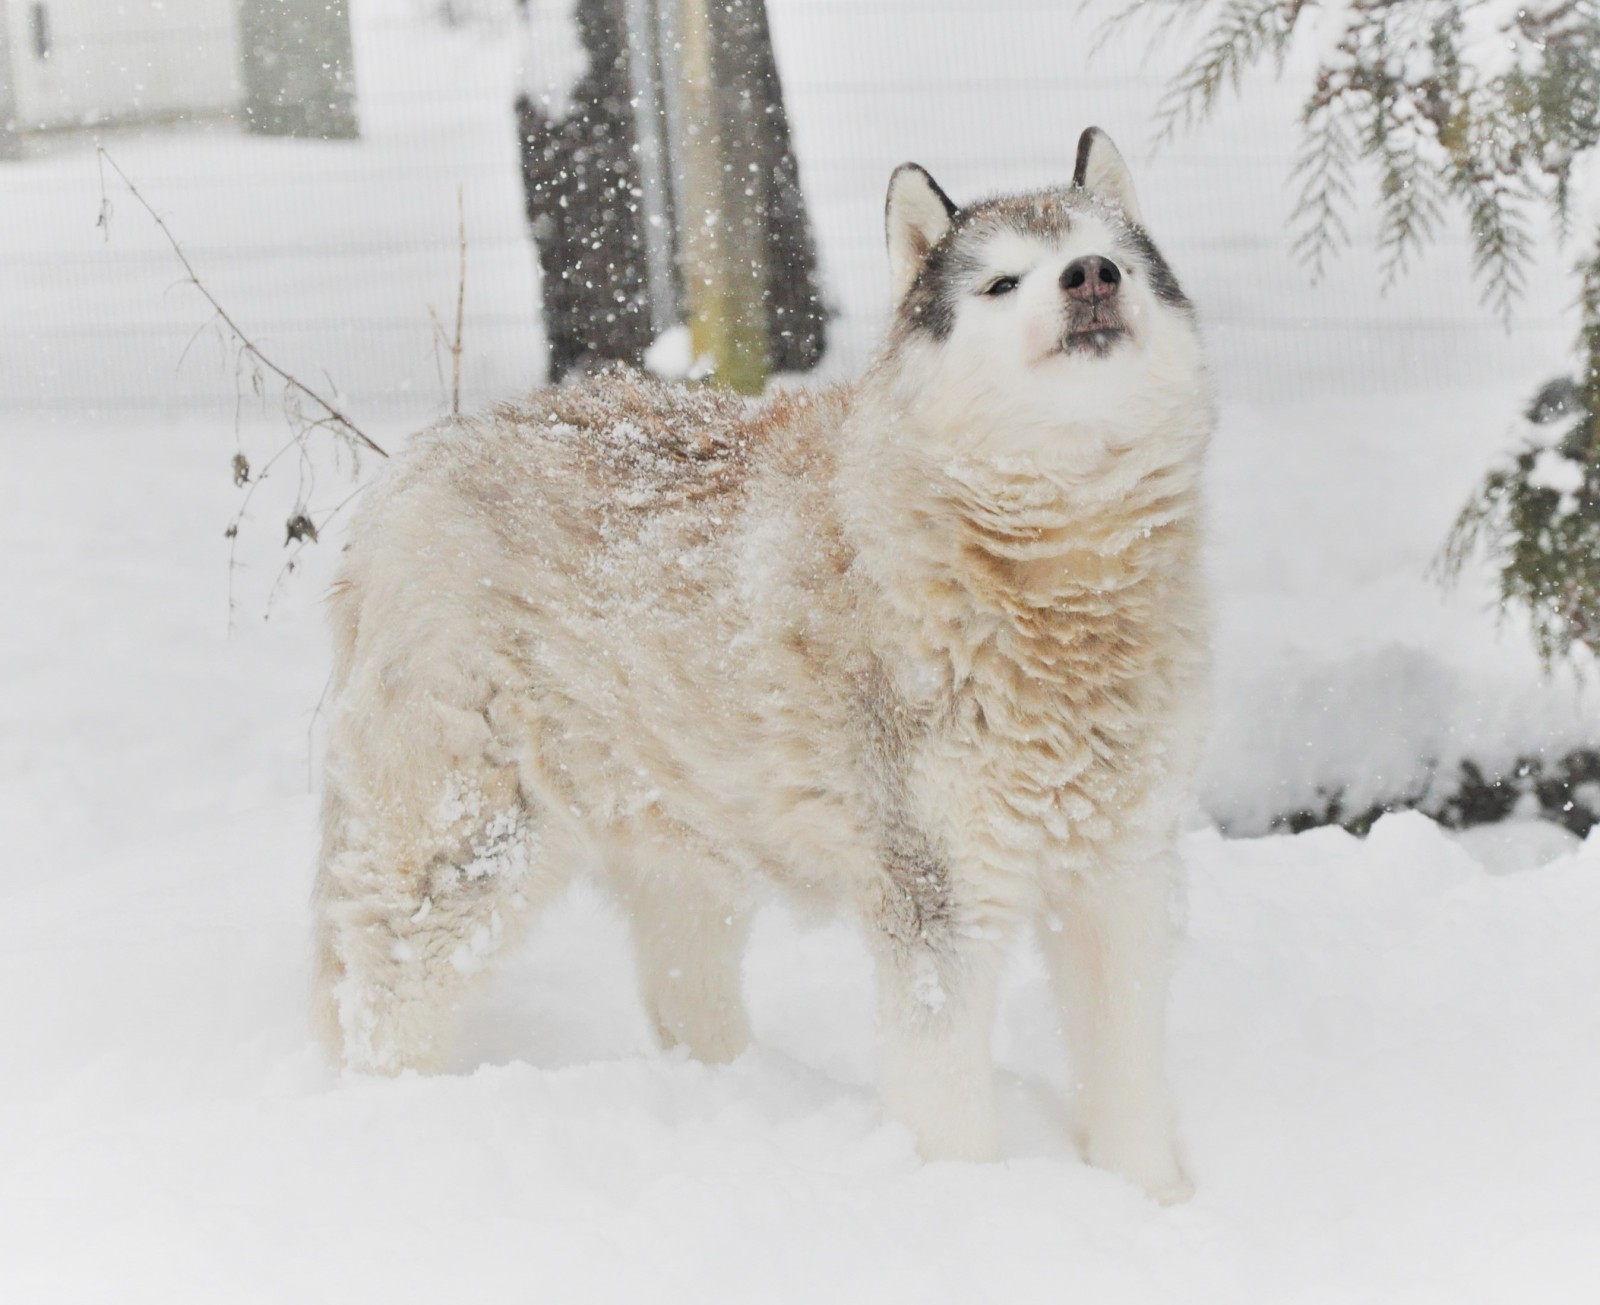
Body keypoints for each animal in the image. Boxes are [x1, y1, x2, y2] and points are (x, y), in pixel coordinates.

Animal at [312, 130, 1209, 1202]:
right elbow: (951, 1109)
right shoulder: (937, 906)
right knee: (380, 1004)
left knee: (683, 1005)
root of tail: (406, 472)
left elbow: (1130, 1089)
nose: (1091, 279)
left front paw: (1154, 1204)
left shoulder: (1120, 878)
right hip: (467, 859)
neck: (1054, 580)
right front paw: (966, 1206)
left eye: (1107, 257)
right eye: (1002, 283)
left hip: (689, 869)